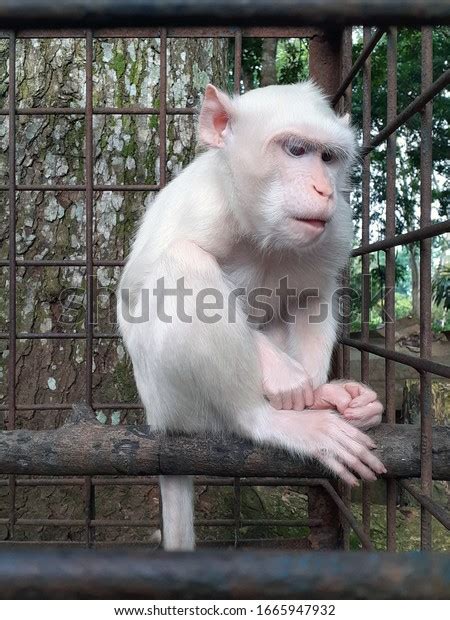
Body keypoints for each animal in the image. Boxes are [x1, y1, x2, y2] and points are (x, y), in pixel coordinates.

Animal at [118, 80, 384, 548]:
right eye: (296, 150)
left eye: (327, 158)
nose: (324, 190)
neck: (258, 232)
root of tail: (158, 422)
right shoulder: (199, 207)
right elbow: (136, 294)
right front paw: (285, 376)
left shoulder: (335, 228)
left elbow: (311, 295)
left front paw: (316, 390)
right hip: (172, 402)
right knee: (183, 265)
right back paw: (267, 419)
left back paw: (325, 397)